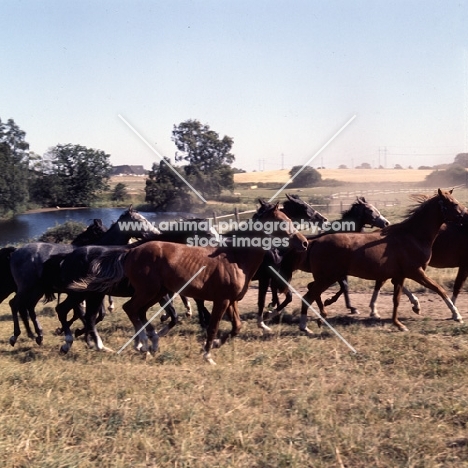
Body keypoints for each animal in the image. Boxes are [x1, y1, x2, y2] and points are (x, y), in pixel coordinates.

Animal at [70, 203, 308, 364]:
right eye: (283, 222)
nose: (304, 243)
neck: (236, 258)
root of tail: (130, 252)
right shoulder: (221, 301)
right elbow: (212, 326)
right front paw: (208, 354)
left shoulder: (232, 301)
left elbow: (237, 327)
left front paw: (217, 344)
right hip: (148, 292)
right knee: (130, 309)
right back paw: (142, 345)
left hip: (157, 293)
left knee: (138, 312)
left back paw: (146, 343)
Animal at [280, 189, 466, 332]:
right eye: (453, 203)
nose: (466, 216)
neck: (412, 235)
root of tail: (315, 241)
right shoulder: (416, 272)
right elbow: (440, 289)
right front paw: (456, 314)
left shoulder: (400, 275)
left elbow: (396, 300)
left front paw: (399, 323)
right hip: (327, 277)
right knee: (309, 295)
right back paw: (305, 326)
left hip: (326, 277)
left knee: (312, 292)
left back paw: (320, 318)